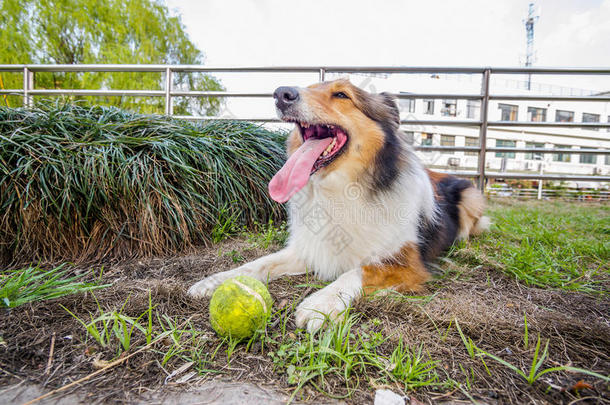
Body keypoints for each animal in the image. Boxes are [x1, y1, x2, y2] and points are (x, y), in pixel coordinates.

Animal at [188, 78, 486, 332]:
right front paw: (216, 280)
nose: (282, 93)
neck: (342, 190)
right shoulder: (310, 248)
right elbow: (257, 264)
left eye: (342, 95)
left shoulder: (407, 262)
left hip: (472, 196)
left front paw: (319, 303)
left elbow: (358, 271)